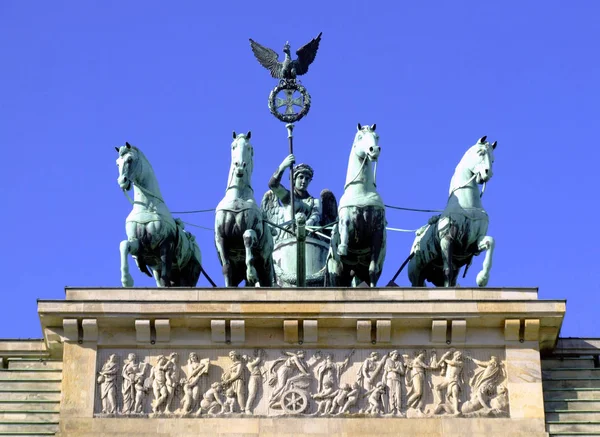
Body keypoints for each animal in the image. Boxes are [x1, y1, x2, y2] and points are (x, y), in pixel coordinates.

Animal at [116, 142, 203, 286]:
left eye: (130, 159)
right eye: (117, 163)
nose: (122, 181)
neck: (147, 207)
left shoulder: (166, 246)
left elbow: (165, 276)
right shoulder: (138, 244)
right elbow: (124, 245)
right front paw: (127, 280)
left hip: (189, 274)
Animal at [213, 132, 274, 286]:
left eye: (250, 148)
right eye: (233, 146)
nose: (240, 166)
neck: (238, 197)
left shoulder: (255, 230)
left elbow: (247, 237)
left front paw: (251, 273)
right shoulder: (220, 237)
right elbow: (226, 268)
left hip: (266, 267)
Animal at [326, 122, 386, 286]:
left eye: (377, 136)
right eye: (359, 137)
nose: (374, 150)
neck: (362, 191)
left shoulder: (378, 232)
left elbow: (372, 270)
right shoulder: (347, 218)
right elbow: (345, 227)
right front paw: (342, 248)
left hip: (356, 271)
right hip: (336, 270)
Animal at [408, 135, 496, 286]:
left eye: (493, 159)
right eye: (480, 152)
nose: (488, 173)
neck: (467, 205)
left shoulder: (473, 243)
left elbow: (491, 242)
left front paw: (482, 278)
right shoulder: (447, 240)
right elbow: (447, 271)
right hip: (416, 274)